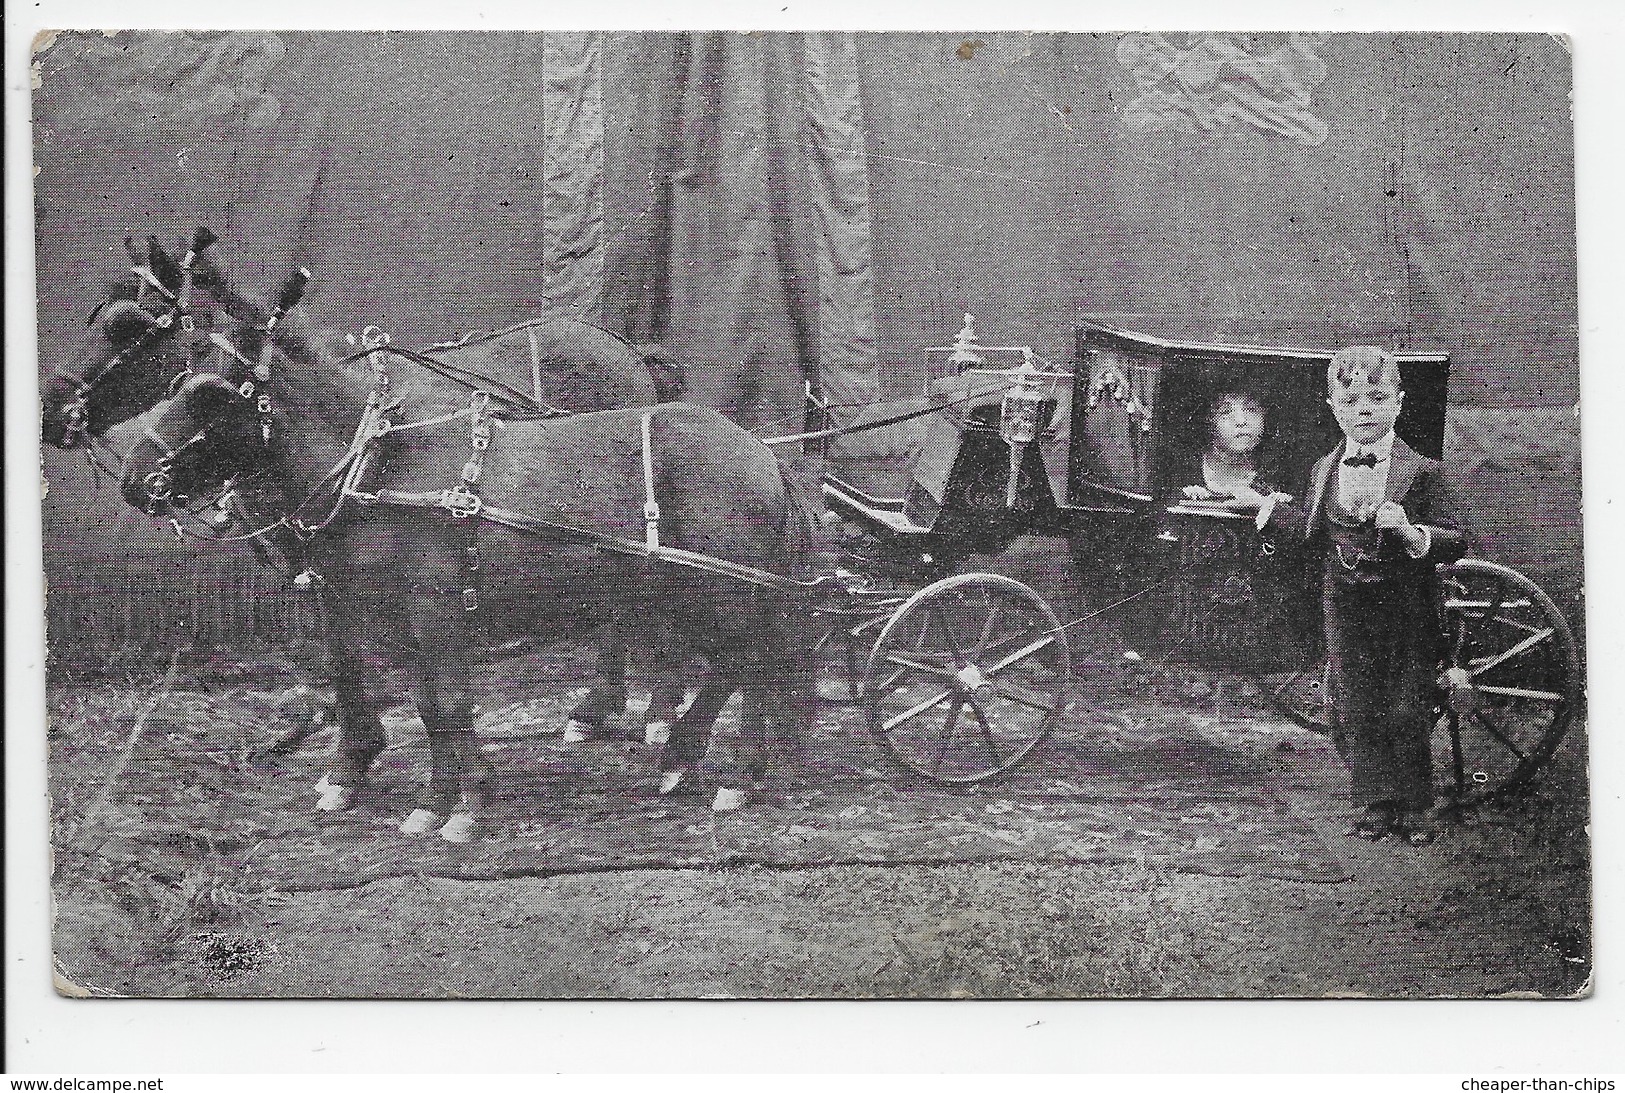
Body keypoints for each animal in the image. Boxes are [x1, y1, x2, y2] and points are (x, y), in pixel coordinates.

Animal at [120, 336, 819, 838]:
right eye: (174, 383)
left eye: (212, 400)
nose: (132, 478)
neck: (379, 471)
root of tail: (763, 453)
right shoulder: (384, 614)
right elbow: (419, 705)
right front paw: (442, 795)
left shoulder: (435, 618)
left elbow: (445, 707)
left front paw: (452, 809)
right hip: (693, 589)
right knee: (737, 667)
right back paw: (690, 760)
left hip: (719, 591)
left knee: (748, 662)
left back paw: (731, 773)